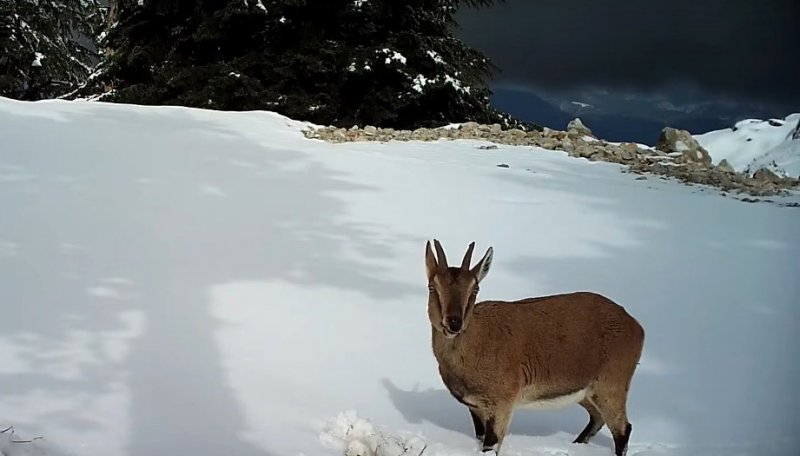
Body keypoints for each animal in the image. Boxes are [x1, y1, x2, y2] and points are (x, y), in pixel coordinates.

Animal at [424, 240, 644, 454]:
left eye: (475, 289)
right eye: (432, 287)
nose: (454, 323)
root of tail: (636, 327)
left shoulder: (501, 405)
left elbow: (491, 446)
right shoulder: (475, 408)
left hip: (611, 384)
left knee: (623, 430)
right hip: (588, 392)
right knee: (597, 419)